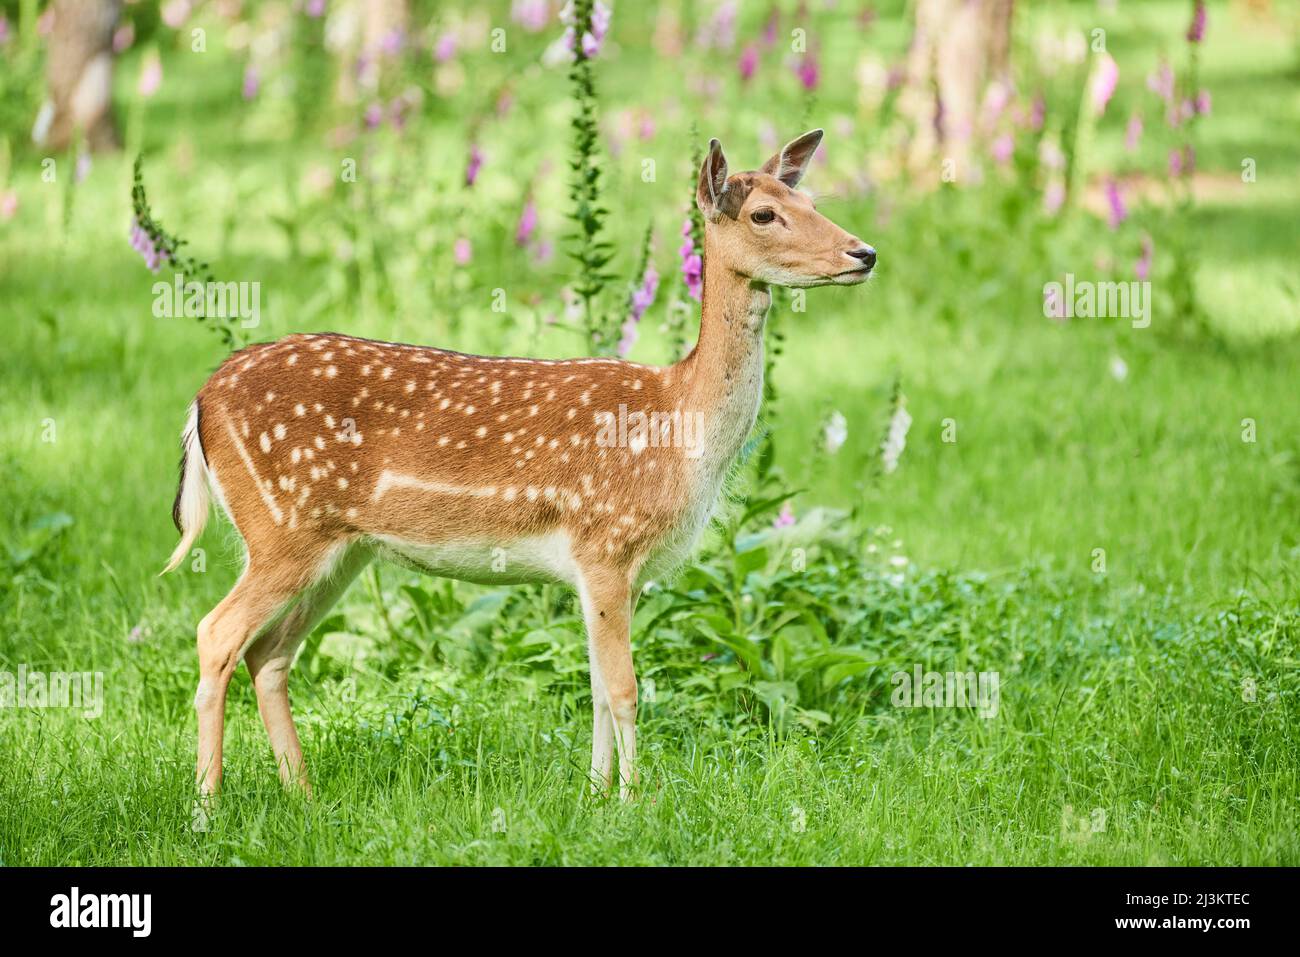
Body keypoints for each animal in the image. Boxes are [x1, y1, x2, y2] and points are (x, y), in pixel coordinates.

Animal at [164, 129, 876, 801]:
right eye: (763, 214)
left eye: (812, 202)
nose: (863, 253)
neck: (680, 427)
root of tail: (201, 401)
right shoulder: (606, 543)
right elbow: (625, 689)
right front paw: (634, 802)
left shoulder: (602, 572)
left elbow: (595, 688)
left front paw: (594, 794)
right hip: (282, 526)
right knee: (216, 633)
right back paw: (207, 806)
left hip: (341, 549)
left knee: (268, 653)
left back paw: (303, 797)